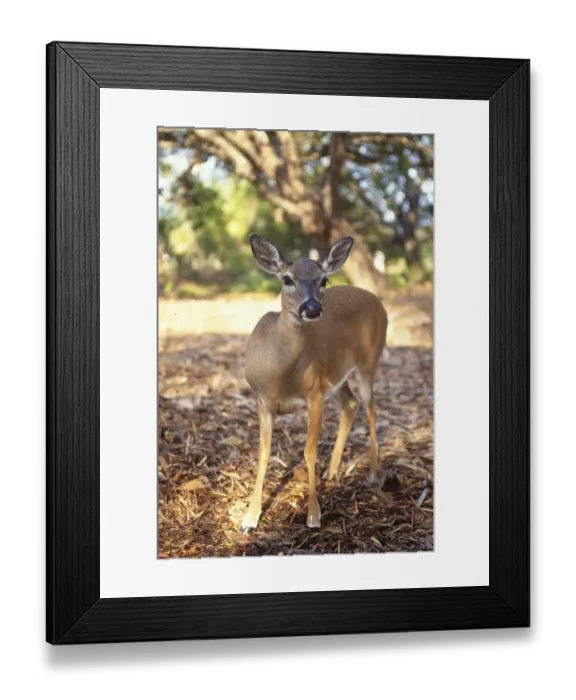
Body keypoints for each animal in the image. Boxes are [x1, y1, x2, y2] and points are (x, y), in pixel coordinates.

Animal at [241, 234, 390, 533]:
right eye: (287, 278)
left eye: (324, 280)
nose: (311, 308)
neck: (279, 376)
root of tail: (378, 303)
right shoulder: (261, 400)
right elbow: (263, 453)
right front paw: (249, 518)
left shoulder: (315, 394)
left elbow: (309, 451)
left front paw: (313, 515)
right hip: (336, 375)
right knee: (351, 404)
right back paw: (332, 473)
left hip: (368, 362)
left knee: (370, 407)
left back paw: (373, 473)